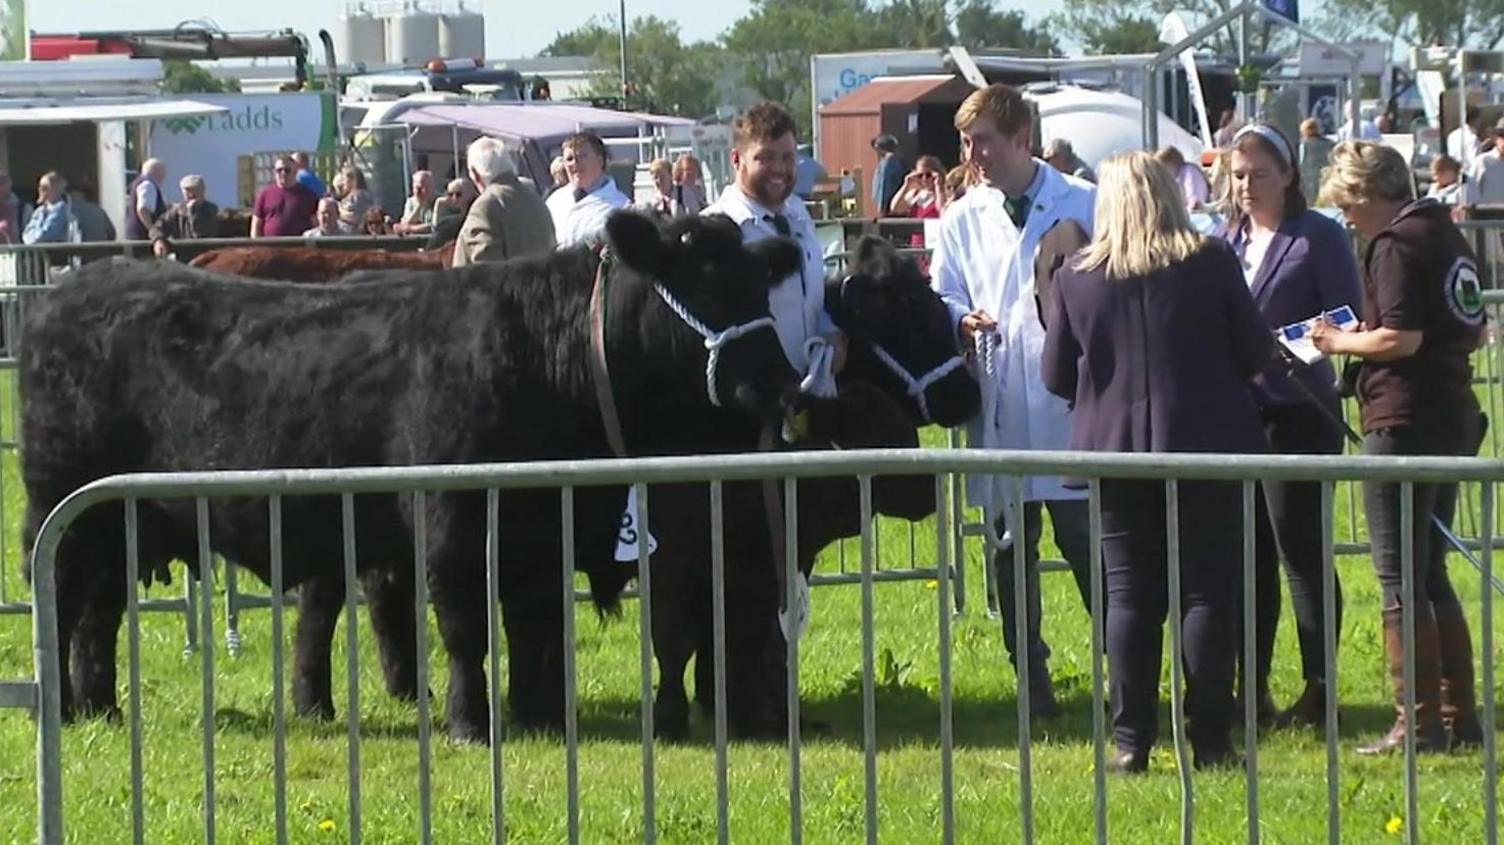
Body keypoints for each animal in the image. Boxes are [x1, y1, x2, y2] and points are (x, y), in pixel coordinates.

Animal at [17, 210, 806, 736]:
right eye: (700, 281)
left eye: (758, 287)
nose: (777, 379)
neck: (548, 356)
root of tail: (69, 289)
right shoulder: (453, 526)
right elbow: (465, 630)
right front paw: (470, 721)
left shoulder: (539, 537)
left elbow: (536, 627)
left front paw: (540, 715)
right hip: (66, 506)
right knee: (63, 595)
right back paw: (68, 710)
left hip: (124, 519)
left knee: (98, 613)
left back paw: (101, 706)